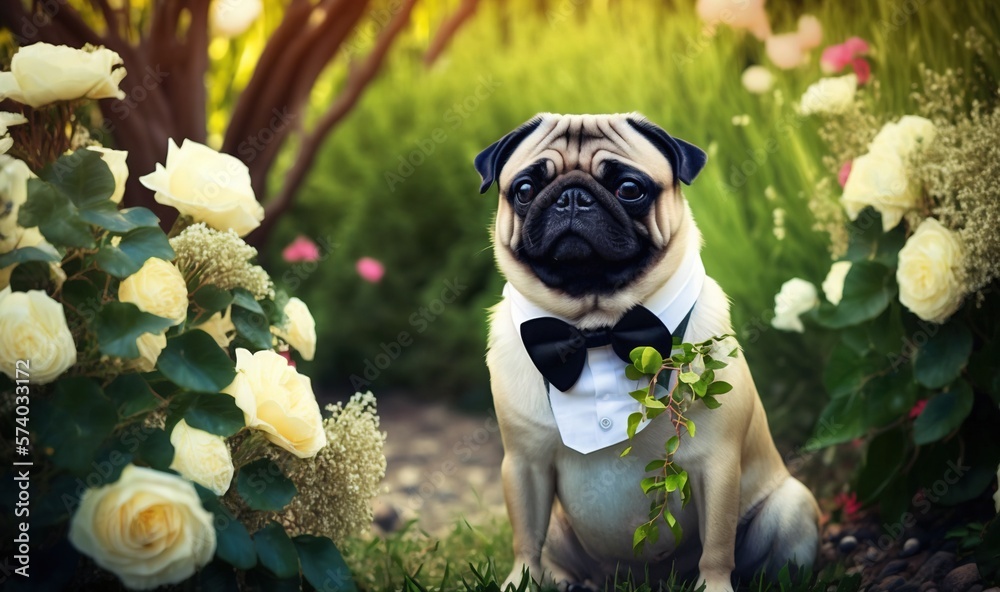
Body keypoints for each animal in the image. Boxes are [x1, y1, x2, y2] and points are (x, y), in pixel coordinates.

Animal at [478, 112, 820, 592]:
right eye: (525, 190)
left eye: (629, 188)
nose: (571, 196)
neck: (596, 331)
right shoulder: (524, 465)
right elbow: (525, 538)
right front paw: (519, 582)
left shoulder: (717, 464)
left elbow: (717, 545)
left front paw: (714, 586)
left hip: (791, 505)